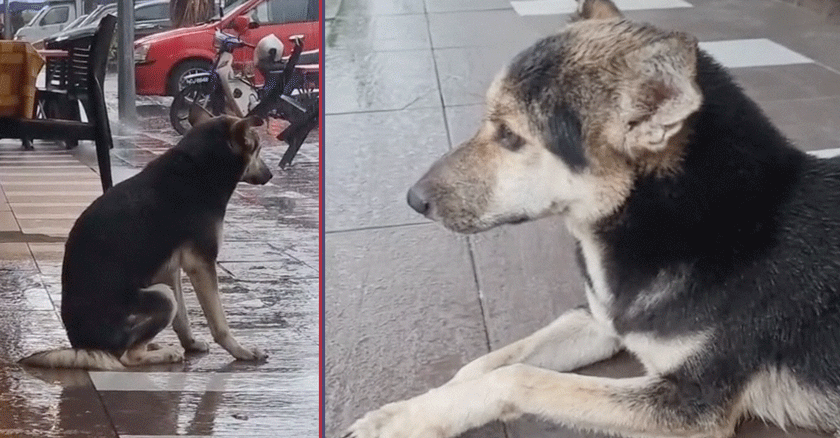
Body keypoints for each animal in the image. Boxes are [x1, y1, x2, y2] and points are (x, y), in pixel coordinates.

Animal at [22, 110, 272, 370]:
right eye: (258, 149)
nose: (271, 174)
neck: (199, 166)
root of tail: (83, 345)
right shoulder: (201, 263)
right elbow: (219, 322)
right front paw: (240, 350)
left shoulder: (169, 269)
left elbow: (182, 318)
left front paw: (191, 343)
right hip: (162, 296)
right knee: (128, 357)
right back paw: (163, 354)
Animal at [344, 0, 840, 436]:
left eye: (509, 135)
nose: (414, 199)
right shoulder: (599, 319)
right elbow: (485, 363)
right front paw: (412, 409)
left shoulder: (691, 403)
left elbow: (516, 376)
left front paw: (406, 420)